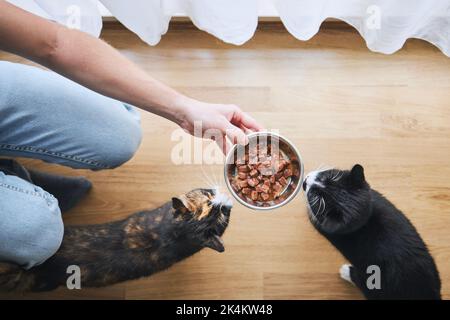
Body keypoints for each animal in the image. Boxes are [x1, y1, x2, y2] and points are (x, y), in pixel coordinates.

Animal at [304, 165, 442, 300]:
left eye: (313, 196)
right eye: (325, 177)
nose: (305, 181)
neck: (364, 220)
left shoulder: (327, 227)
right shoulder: (374, 196)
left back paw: (346, 271)